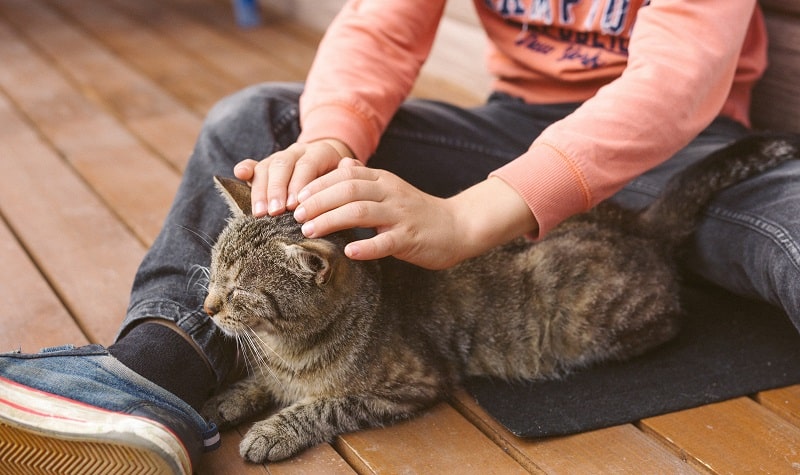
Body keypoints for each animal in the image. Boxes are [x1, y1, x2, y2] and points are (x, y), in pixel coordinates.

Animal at [198, 135, 792, 464]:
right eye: (214, 273)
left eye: (241, 290)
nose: (207, 307)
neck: (291, 349)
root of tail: (638, 225)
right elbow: (259, 382)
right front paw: (224, 401)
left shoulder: (411, 385)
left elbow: (323, 405)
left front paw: (274, 429)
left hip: (590, 317)